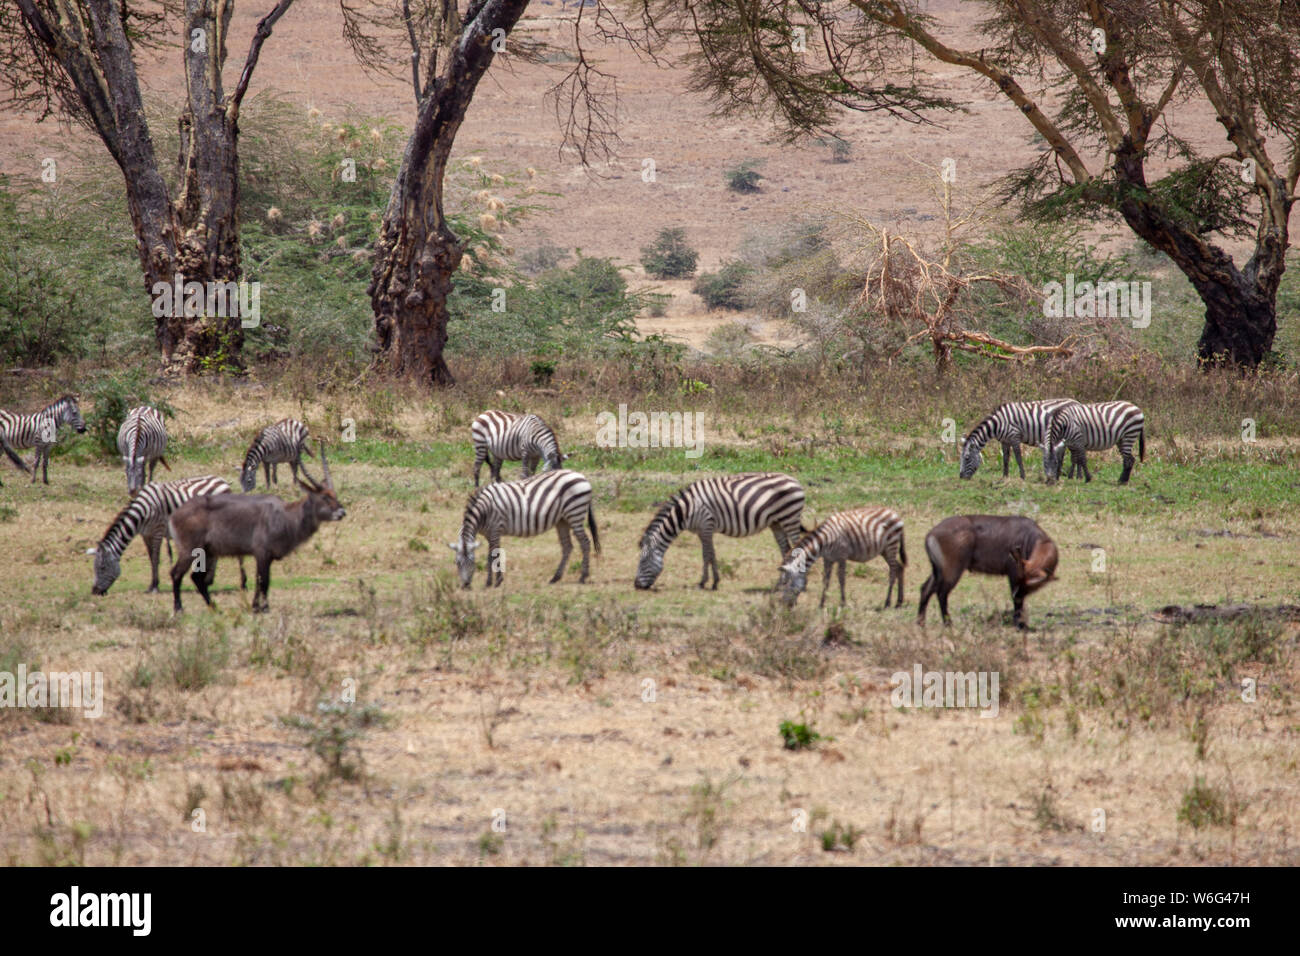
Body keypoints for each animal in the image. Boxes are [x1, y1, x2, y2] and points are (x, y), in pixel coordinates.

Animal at [91, 476, 245, 595]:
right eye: (95, 568)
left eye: (102, 568)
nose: (94, 591)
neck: (142, 513)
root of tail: (223, 481)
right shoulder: (146, 534)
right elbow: (151, 559)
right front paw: (151, 586)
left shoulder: (158, 530)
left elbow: (155, 559)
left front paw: (154, 586)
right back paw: (209, 581)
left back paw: (242, 583)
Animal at [449, 468, 600, 587]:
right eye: (457, 563)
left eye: (472, 562)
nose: (465, 585)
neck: (483, 512)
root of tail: (582, 476)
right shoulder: (489, 534)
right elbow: (491, 556)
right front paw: (492, 581)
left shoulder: (496, 529)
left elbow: (493, 556)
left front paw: (495, 582)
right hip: (562, 520)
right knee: (567, 546)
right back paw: (555, 578)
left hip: (575, 514)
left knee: (585, 543)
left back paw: (583, 576)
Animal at [631, 473, 800, 590]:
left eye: (643, 561)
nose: (636, 585)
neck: (686, 511)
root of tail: (794, 480)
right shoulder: (703, 530)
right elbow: (709, 554)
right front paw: (712, 582)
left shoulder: (706, 526)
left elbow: (707, 555)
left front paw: (706, 583)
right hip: (777, 523)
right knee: (785, 549)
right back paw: (781, 583)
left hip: (789, 518)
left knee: (797, 549)